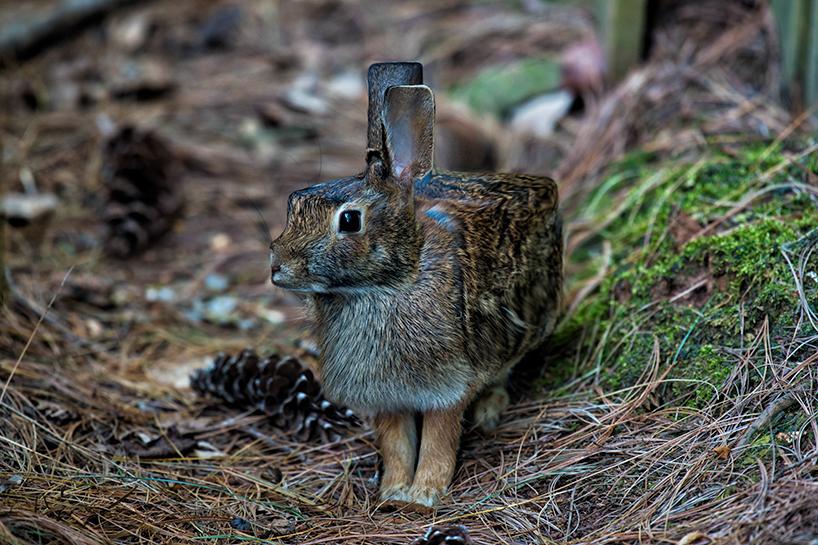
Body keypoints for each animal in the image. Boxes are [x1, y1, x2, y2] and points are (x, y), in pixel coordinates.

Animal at [268, 63, 560, 510]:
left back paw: (489, 412)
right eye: (292, 203)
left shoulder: (449, 384)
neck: (386, 285)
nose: (277, 266)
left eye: (349, 220)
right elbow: (396, 443)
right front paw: (393, 492)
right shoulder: (387, 397)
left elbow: (439, 438)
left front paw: (424, 495)